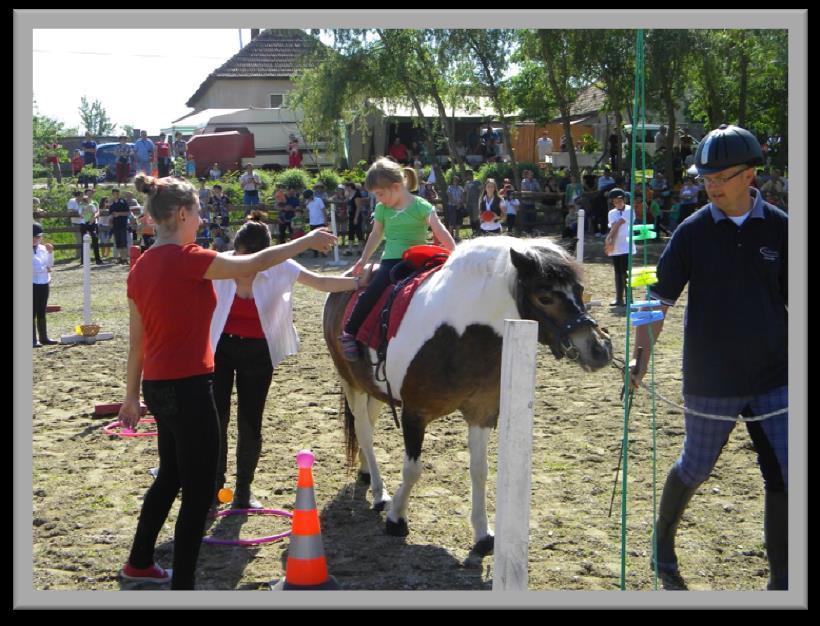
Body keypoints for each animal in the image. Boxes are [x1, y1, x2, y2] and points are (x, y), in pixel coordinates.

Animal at [324, 236, 612, 560]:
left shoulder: (482, 413)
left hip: (373, 388)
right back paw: (378, 491)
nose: (599, 349)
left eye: (580, 289)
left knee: (368, 430)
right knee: (363, 430)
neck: (460, 334)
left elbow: (480, 471)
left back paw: (366, 472)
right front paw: (396, 518)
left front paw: (483, 534)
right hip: (352, 383)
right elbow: (412, 470)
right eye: (544, 298)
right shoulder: (414, 414)